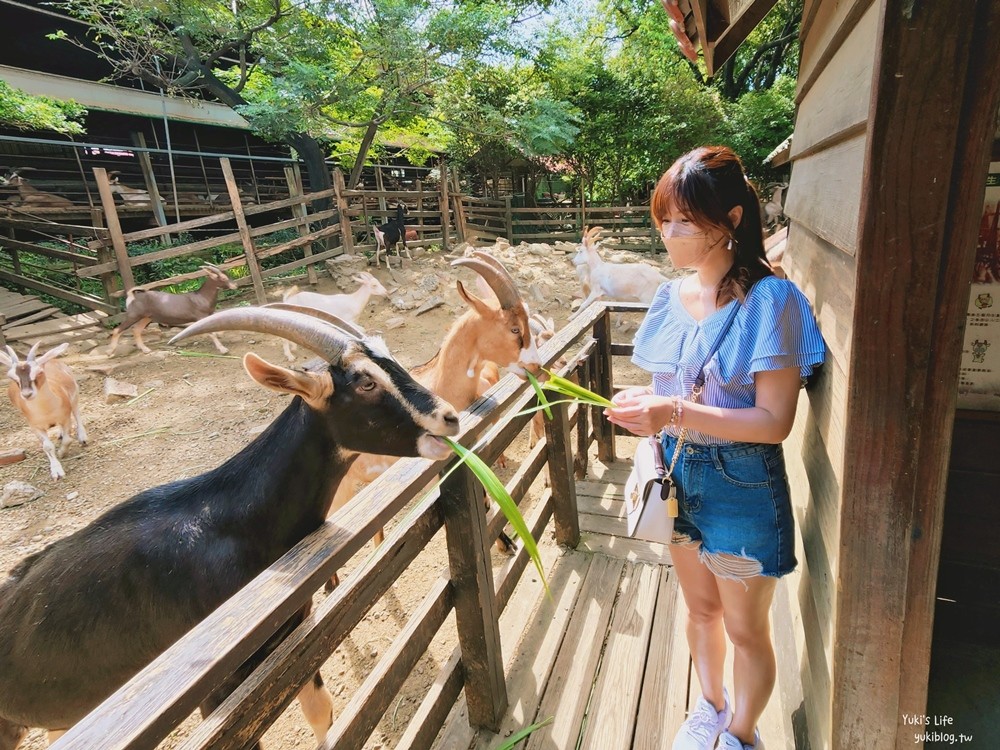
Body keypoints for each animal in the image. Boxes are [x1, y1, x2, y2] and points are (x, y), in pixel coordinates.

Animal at [0, 346, 85, 482]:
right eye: (12, 377)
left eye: (39, 372)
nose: (27, 394)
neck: (46, 411)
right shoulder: (35, 426)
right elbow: (47, 446)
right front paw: (56, 471)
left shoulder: (65, 417)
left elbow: (68, 440)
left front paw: (62, 453)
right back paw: (60, 434)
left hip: (75, 392)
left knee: (77, 412)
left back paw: (83, 437)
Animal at [106, 264, 237, 358]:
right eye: (223, 278)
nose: (235, 285)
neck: (201, 297)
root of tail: (132, 297)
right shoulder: (201, 316)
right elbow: (211, 333)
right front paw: (223, 349)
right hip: (134, 315)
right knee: (117, 329)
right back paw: (110, 352)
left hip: (147, 317)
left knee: (136, 330)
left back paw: (145, 349)